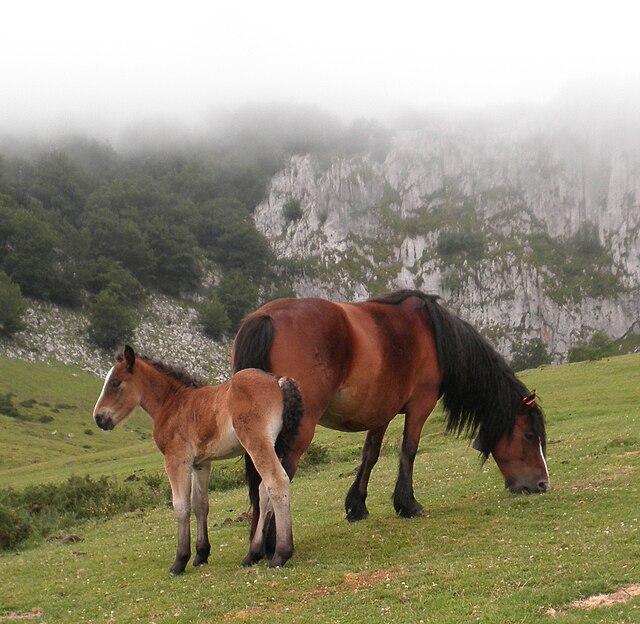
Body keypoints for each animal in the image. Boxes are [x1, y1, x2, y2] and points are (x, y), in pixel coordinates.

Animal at [92, 344, 304, 572]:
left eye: (115, 383)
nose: (98, 418)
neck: (172, 403)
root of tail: (278, 381)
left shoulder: (176, 460)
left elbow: (181, 505)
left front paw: (179, 560)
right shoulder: (200, 464)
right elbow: (200, 503)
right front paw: (201, 554)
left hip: (257, 444)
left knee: (276, 482)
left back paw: (280, 554)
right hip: (276, 445)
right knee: (264, 489)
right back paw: (252, 554)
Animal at [235, 288, 552, 532]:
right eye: (529, 435)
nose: (542, 484)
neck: (432, 333)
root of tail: (267, 318)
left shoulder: (380, 411)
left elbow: (370, 454)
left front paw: (357, 506)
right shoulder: (420, 404)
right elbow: (409, 450)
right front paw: (408, 504)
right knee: (278, 474)